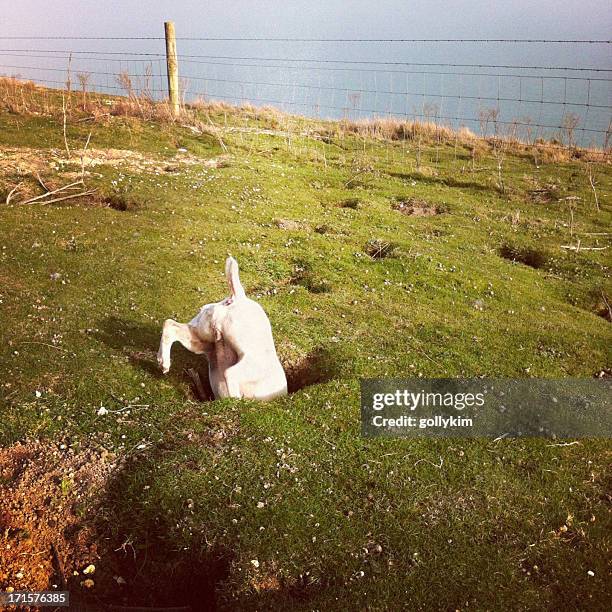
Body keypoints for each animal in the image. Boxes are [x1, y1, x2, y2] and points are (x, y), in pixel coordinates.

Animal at [154, 255, 286, 402]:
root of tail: (238, 298)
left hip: (203, 336)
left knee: (169, 325)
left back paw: (163, 362)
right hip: (249, 357)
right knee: (230, 373)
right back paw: (234, 400)